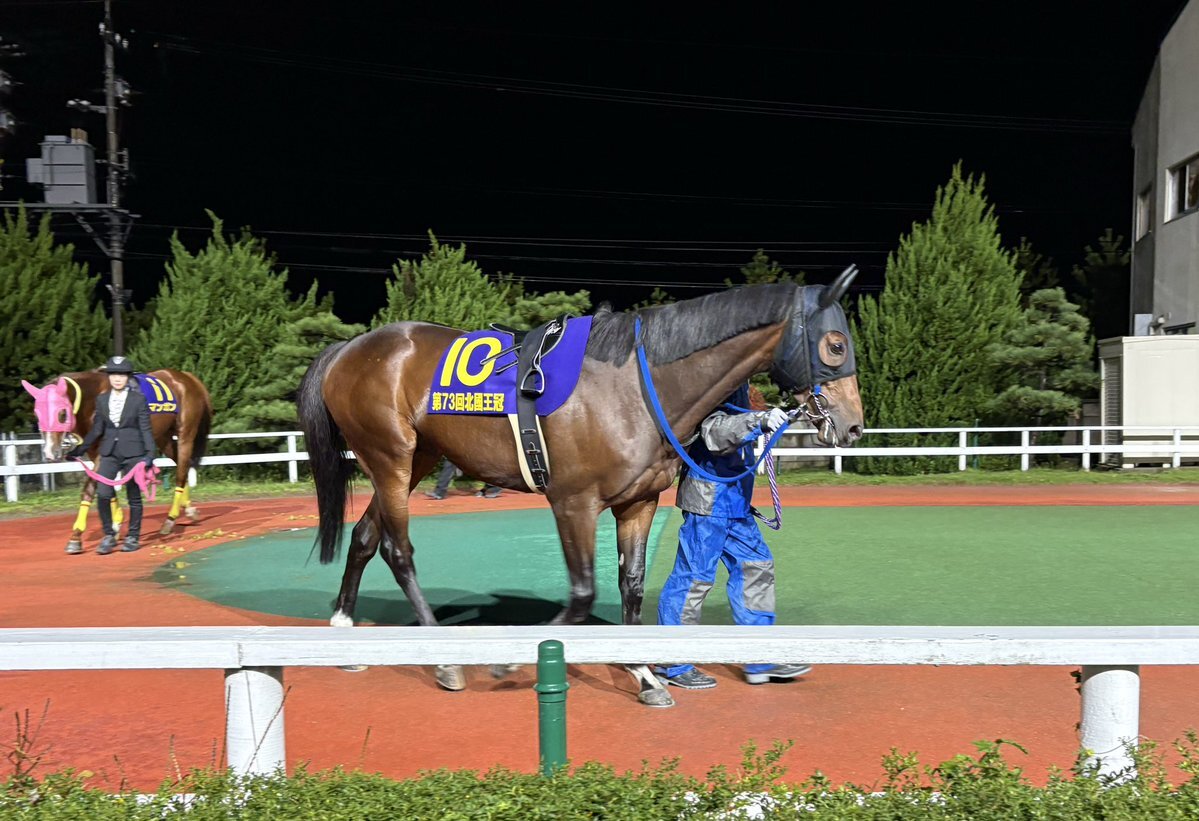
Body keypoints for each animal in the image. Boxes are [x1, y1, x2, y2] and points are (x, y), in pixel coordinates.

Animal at [22, 369, 213, 552]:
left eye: (62, 413)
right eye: (37, 414)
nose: (50, 453)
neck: (93, 399)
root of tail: (187, 377)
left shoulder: (102, 453)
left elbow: (90, 489)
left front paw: (76, 536)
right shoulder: (97, 452)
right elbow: (107, 485)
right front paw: (115, 526)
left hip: (185, 435)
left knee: (181, 472)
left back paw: (170, 519)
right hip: (163, 438)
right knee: (183, 466)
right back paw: (189, 510)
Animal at [297, 275, 864, 707]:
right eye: (836, 345)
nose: (853, 425)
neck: (633, 385)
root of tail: (348, 349)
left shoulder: (638, 502)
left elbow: (632, 587)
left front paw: (645, 675)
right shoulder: (573, 502)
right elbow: (585, 589)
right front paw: (511, 664)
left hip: (418, 457)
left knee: (366, 535)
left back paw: (344, 628)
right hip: (390, 456)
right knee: (398, 548)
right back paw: (443, 658)